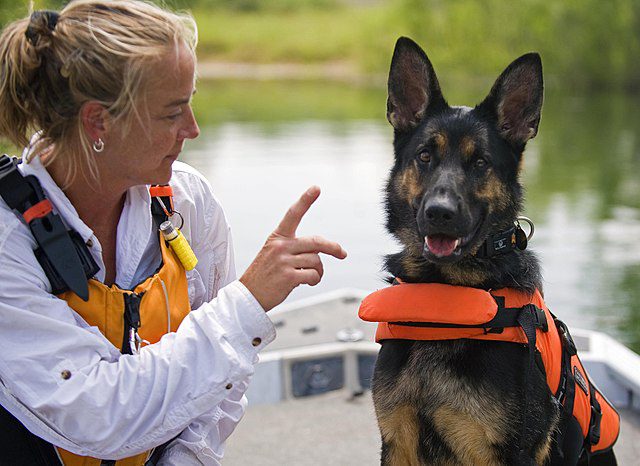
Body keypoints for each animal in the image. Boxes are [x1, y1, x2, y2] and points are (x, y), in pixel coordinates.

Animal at [372, 37, 616, 466]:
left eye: (480, 162)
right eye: (425, 156)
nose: (439, 213)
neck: (443, 299)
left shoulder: (507, 452)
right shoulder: (397, 441)